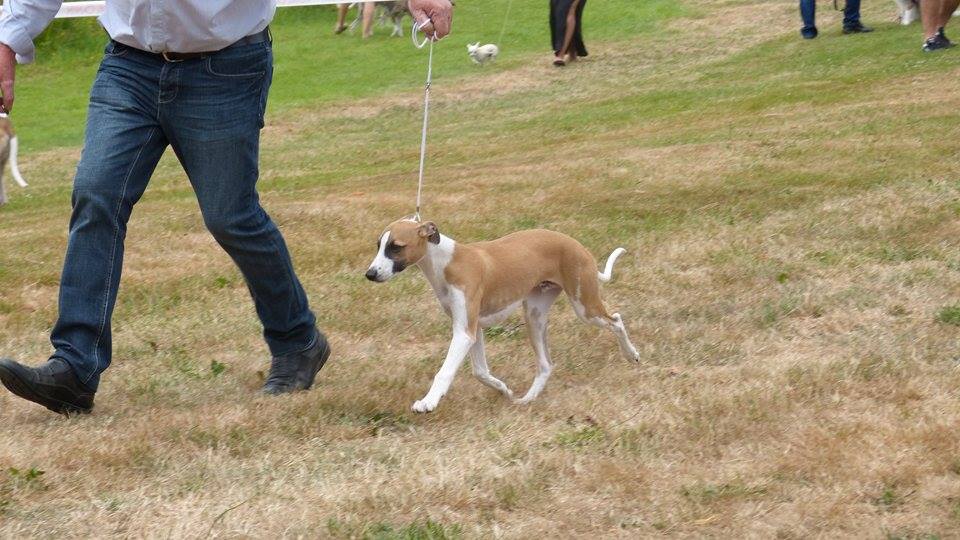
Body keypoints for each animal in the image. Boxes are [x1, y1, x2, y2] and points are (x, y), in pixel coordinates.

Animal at [364, 218, 640, 414]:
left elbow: (444, 371)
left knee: (616, 319)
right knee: (545, 365)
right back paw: (527, 399)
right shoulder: (473, 328)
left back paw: (632, 354)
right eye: (378, 245)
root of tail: (576, 244)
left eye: (396, 247)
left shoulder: (464, 333)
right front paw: (504, 390)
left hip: (584, 307)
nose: (370, 274)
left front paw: (428, 402)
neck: (449, 261)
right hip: (535, 314)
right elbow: (480, 371)